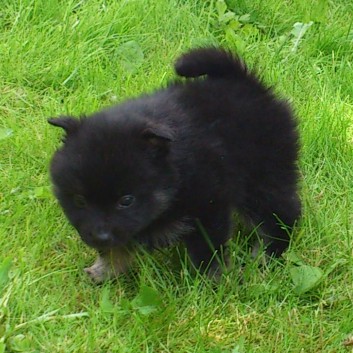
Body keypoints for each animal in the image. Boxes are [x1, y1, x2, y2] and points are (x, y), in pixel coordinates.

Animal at [47, 48, 300, 280]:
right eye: (79, 201)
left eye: (126, 201)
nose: (100, 237)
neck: (176, 172)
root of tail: (244, 81)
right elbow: (117, 247)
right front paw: (105, 270)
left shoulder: (209, 205)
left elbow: (208, 250)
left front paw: (212, 281)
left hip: (262, 175)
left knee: (279, 214)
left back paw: (267, 255)